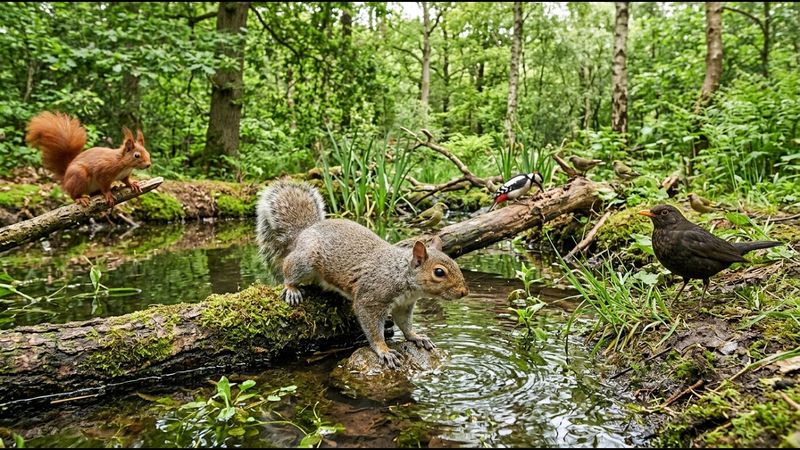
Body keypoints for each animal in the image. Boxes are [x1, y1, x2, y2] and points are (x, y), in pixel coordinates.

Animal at [256, 180, 470, 369]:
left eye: (455, 264)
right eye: (439, 272)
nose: (464, 292)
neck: (401, 275)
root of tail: (304, 232)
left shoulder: (404, 305)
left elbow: (404, 324)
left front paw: (416, 336)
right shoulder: (372, 299)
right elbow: (373, 327)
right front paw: (384, 350)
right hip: (306, 261)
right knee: (289, 268)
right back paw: (291, 288)